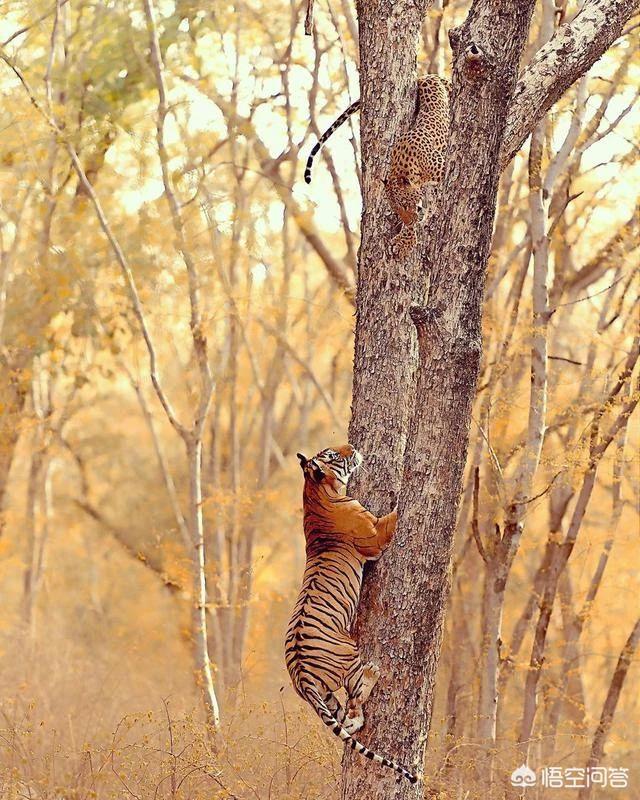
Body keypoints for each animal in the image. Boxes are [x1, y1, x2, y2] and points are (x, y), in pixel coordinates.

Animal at [284, 446, 416, 784]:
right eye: (332, 455)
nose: (352, 448)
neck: (315, 492)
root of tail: (301, 674)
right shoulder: (376, 535)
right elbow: (394, 516)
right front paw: (405, 494)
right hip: (349, 657)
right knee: (356, 703)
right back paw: (373, 672)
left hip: (324, 694)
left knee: (344, 718)